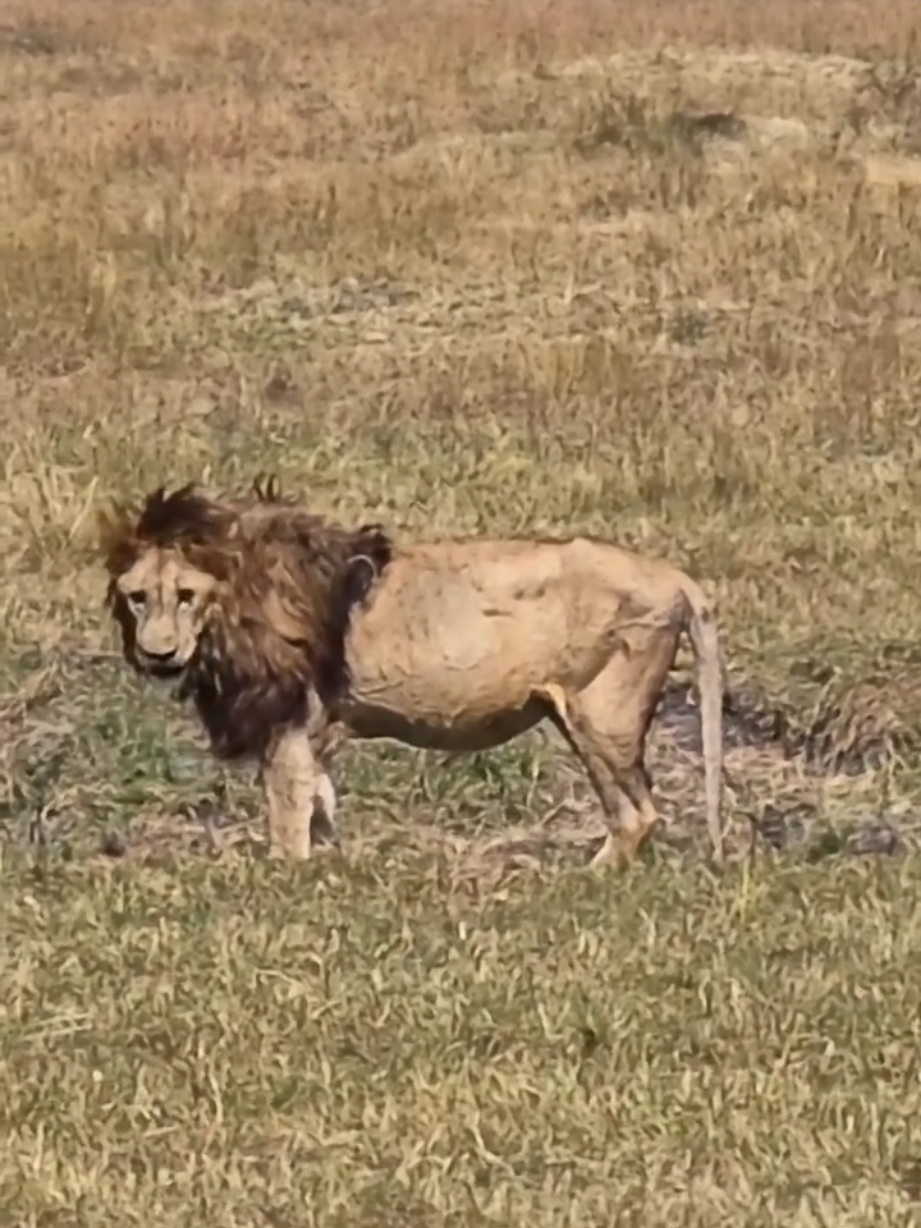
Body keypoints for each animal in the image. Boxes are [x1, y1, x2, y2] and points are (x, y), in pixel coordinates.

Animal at [97, 480, 725, 867]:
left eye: (185, 595)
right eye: (136, 598)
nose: (156, 653)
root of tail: (675, 577)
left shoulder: (290, 724)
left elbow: (287, 820)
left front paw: (285, 879)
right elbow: (319, 808)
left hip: (602, 715)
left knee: (640, 815)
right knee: (631, 815)